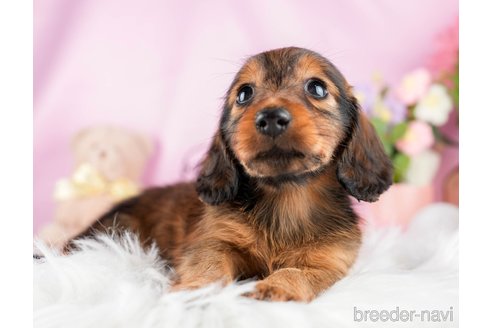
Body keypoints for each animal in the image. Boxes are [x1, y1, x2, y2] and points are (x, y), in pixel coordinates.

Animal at [69, 46, 392, 302]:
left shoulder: (329, 262)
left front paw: (277, 287)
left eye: (317, 88)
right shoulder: (214, 240)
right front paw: (196, 289)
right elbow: (209, 264)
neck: (286, 200)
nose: (270, 117)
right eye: (244, 94)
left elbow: (298, 272)